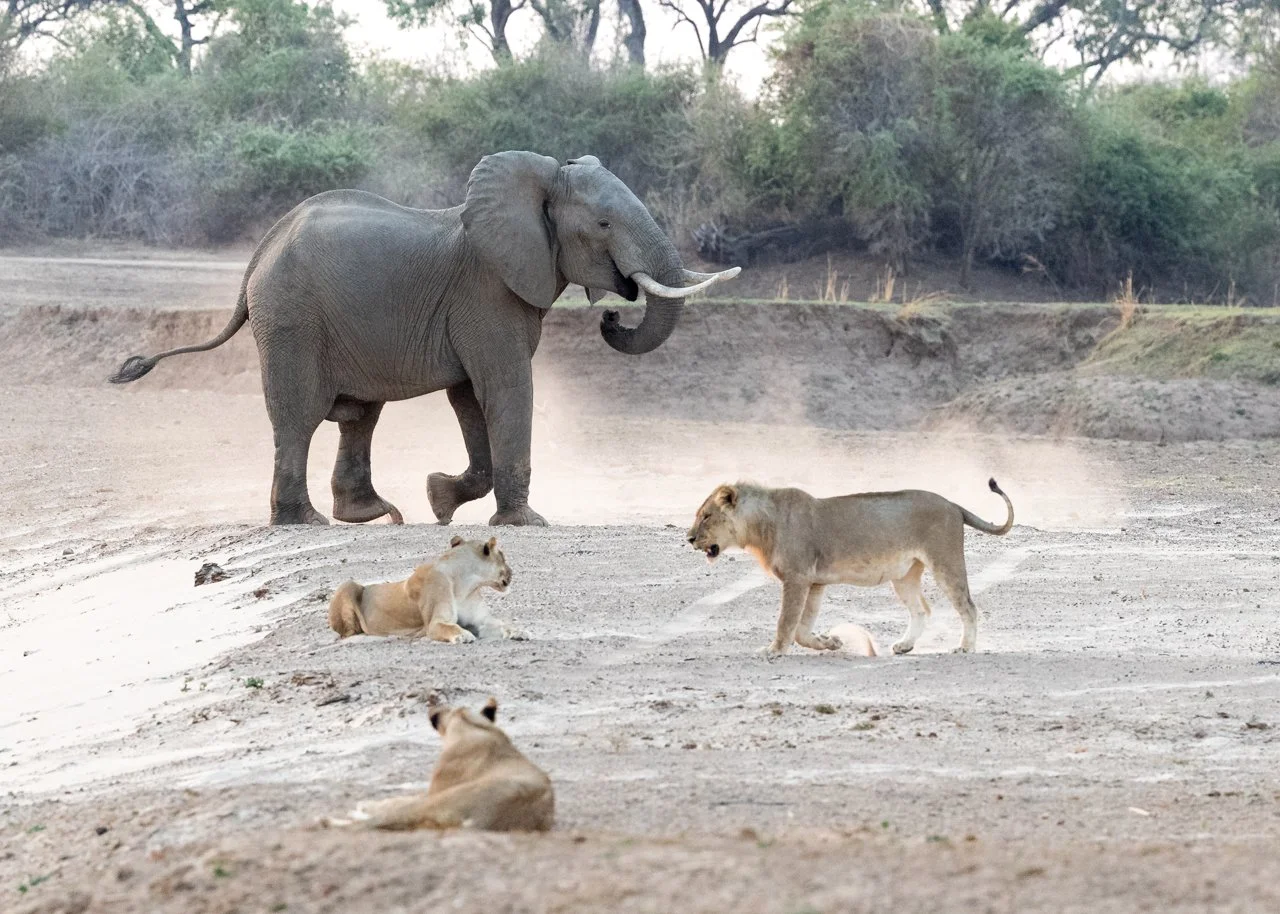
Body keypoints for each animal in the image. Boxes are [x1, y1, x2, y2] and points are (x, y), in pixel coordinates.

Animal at [109, 151, 741, 526]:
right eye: (604, 225)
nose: (612, 317)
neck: (534, 184)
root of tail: (260, 251)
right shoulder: (486, 293)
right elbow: (506, 387)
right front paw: (527, 524)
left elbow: (470, 398)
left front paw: (440, 500)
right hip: (290, 318)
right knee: (300, 417)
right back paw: (304, 522)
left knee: (359, 416)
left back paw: (373, 515)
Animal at [328, 535, 523, 643]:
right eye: (503, 557)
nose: (512, 572)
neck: (466, 584)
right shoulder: (434, 623)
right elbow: (449, 627)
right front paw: (463, 635)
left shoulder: (480, 621)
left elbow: (502, 624)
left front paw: (519, 631)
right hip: (347, 584)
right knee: (348, 633)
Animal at [328, 697, 554, 832]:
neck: (471, 726)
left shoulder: (435, 790)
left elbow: (399, 800)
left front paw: (367, 805)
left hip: (438, 802)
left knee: (377, 820)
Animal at [687, 478, 1014, 656]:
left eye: (706, 516)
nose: (689, 538)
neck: (760, 527)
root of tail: (952, 504)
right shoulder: (815, 582)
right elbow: (802, 628)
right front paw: (829, 642)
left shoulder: (797, 577)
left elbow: (786, 622)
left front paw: (774, 650)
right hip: (904, 575)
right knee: (921, 610)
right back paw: (905, 645)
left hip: (945, 560)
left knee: (968, 606)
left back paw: (965, 647)